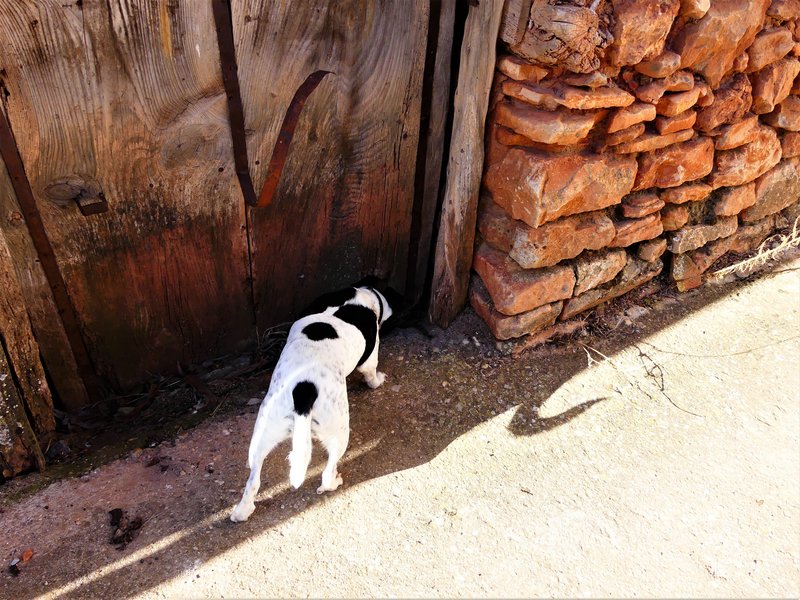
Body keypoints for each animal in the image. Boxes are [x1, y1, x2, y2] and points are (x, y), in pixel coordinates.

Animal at [231, 284, 394, 520]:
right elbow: (371, 373)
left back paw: (242, 511)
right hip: (339, 433)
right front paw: (378, 381)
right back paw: (333, 482)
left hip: (263, 434)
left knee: (253, 480)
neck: (353, 300)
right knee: (326, 473)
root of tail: (304, 390)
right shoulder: (370, 358)